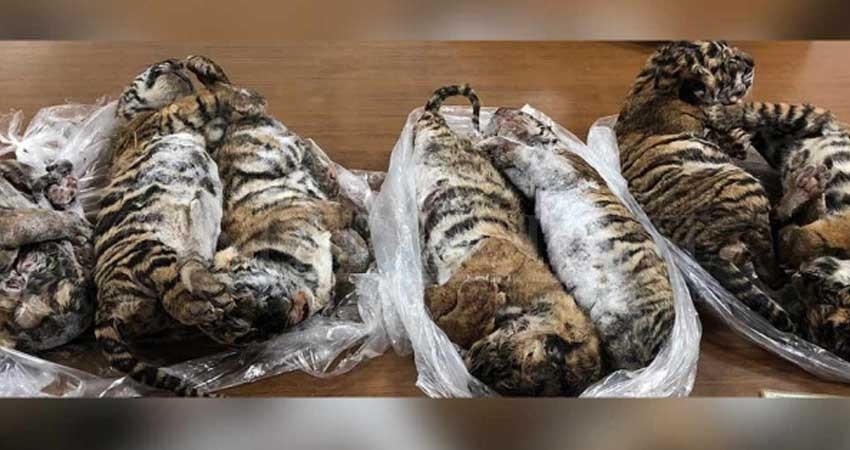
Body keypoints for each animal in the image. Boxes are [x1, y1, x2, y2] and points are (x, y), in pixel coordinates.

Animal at [93, 57, 266, 396]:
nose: (173, 61)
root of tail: (106, 301)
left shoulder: (209, 131)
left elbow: (218, 86)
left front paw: (203, 65)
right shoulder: (174, 115)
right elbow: (210, 95)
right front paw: (249, 96)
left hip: (159, 303)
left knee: (182, 303)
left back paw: (231, 314)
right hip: (151, 251)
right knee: (179, 292)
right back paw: (216, 297)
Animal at [174, 58, 369, 345]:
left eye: (240, 296)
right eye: (249, 333)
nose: (281, 316)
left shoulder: (320, 213)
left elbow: (357, 247)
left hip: (272, 151)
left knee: (231, 93)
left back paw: (204, 68)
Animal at [415, 85, 602, 396]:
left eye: (506, 383)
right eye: (537, 353)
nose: (473, 365)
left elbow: (449, 317)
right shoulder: (492, 251)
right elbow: (455, 312)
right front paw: (478, 294)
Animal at [479, 107, 675, 370]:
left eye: (523, 114)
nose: (500, 109)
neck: (552, 145)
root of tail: (659, 347)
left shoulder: (559, 165)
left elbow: (525, 152)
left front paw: (490, 142)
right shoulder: (531, 181)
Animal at [613, 40, 798, 333]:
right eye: (724, 63)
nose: (752, 61)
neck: (656, 82)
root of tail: (704, 246)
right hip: (746, 187)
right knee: (767, 259)